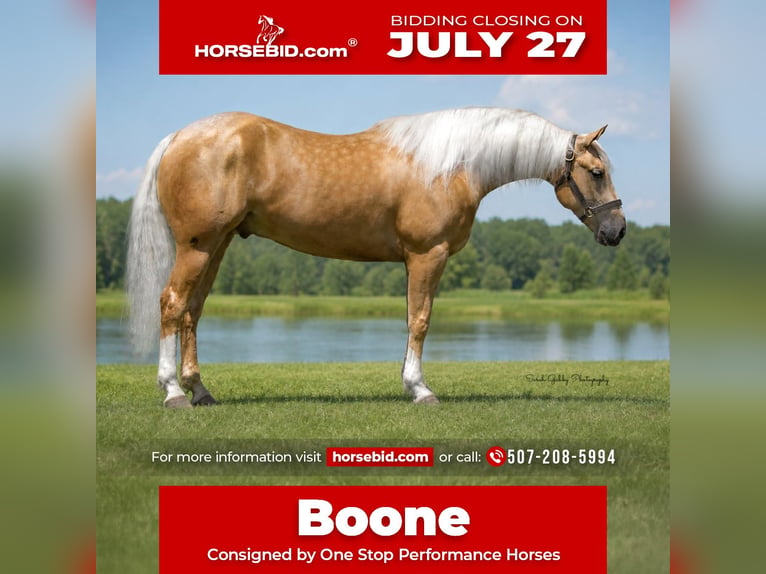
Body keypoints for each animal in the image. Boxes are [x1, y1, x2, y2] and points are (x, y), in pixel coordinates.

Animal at [126, 107, 625, 408]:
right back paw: (173, 392)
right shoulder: (428, 255)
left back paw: (200, 391)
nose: (616, 231)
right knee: (172, 304)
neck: (450, 165)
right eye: (597, 172)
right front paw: (420, 389)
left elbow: (411, 319)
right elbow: (420, 320)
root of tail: (179, 136)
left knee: (192, 311)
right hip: (198, 246)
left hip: (218, 244)